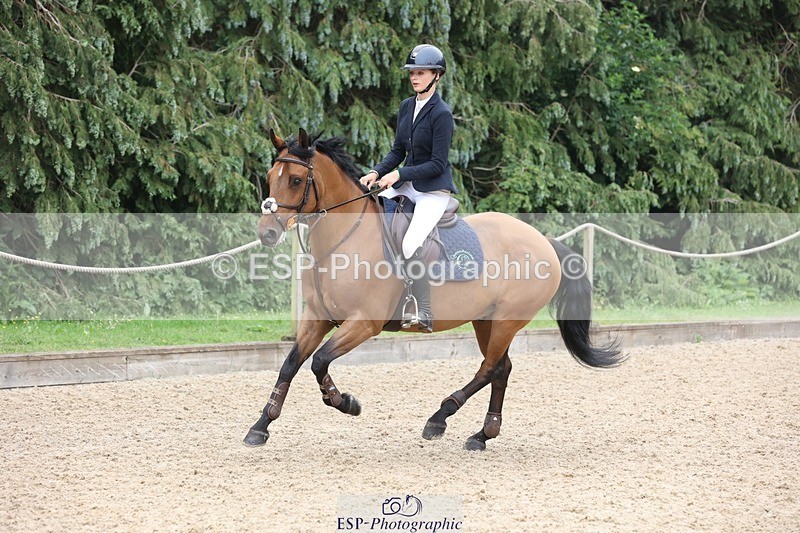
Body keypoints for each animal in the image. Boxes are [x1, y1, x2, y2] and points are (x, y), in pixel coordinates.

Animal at [245, 128, 622, 451]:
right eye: (270, 178)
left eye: (295, 180)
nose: (267, 233)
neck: (344, 239)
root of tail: (543, 240)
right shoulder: (317, 317)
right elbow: (291, 364)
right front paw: (260, 426)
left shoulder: (364, 323)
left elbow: (319, 361)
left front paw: (345, 402)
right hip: (486, 321)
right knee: (501, 368)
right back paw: (482, 435)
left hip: (506, 321)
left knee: (489, 368)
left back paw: (440, 418)